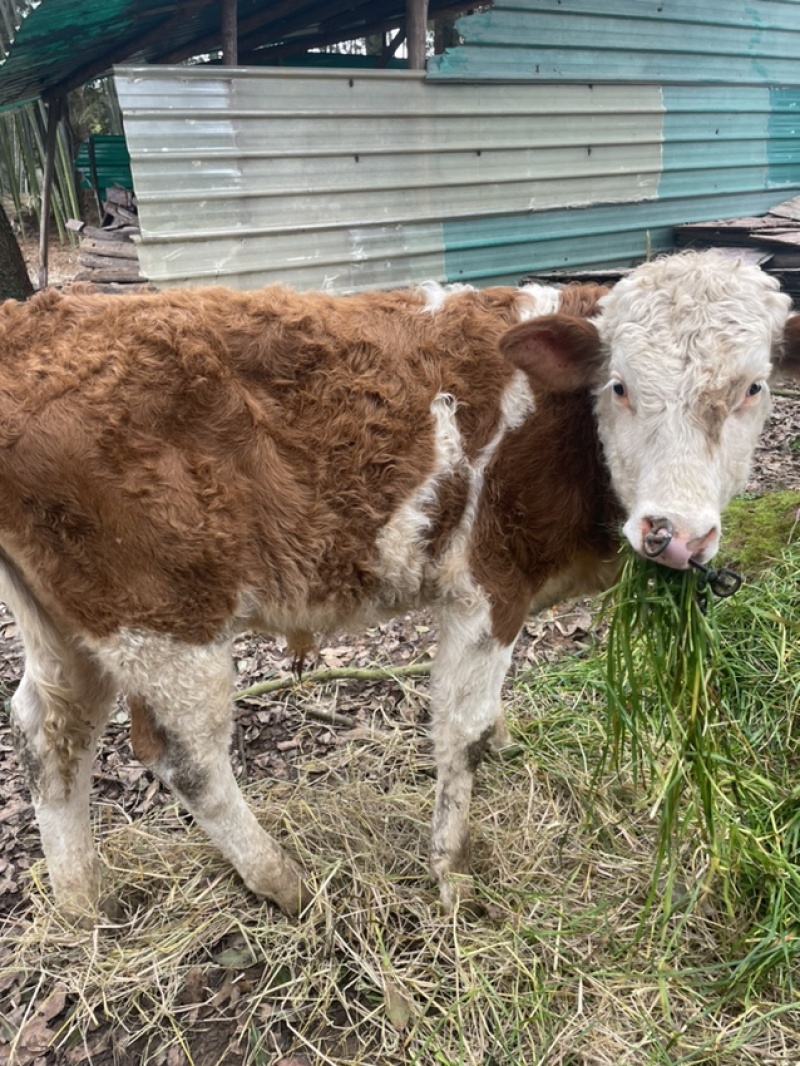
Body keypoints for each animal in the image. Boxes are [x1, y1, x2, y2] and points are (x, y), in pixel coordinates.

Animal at [3, 249, 797, 916]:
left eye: (753, 387)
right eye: (621, 386)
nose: (675, 533)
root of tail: (36, 321)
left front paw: (506, 743)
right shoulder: (488, 586)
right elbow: (459, 730)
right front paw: (451, 871)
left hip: (67, 625)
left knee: (50, 733)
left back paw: (83, 904)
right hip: (164, 619)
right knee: (185, 758)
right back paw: (285, 883)